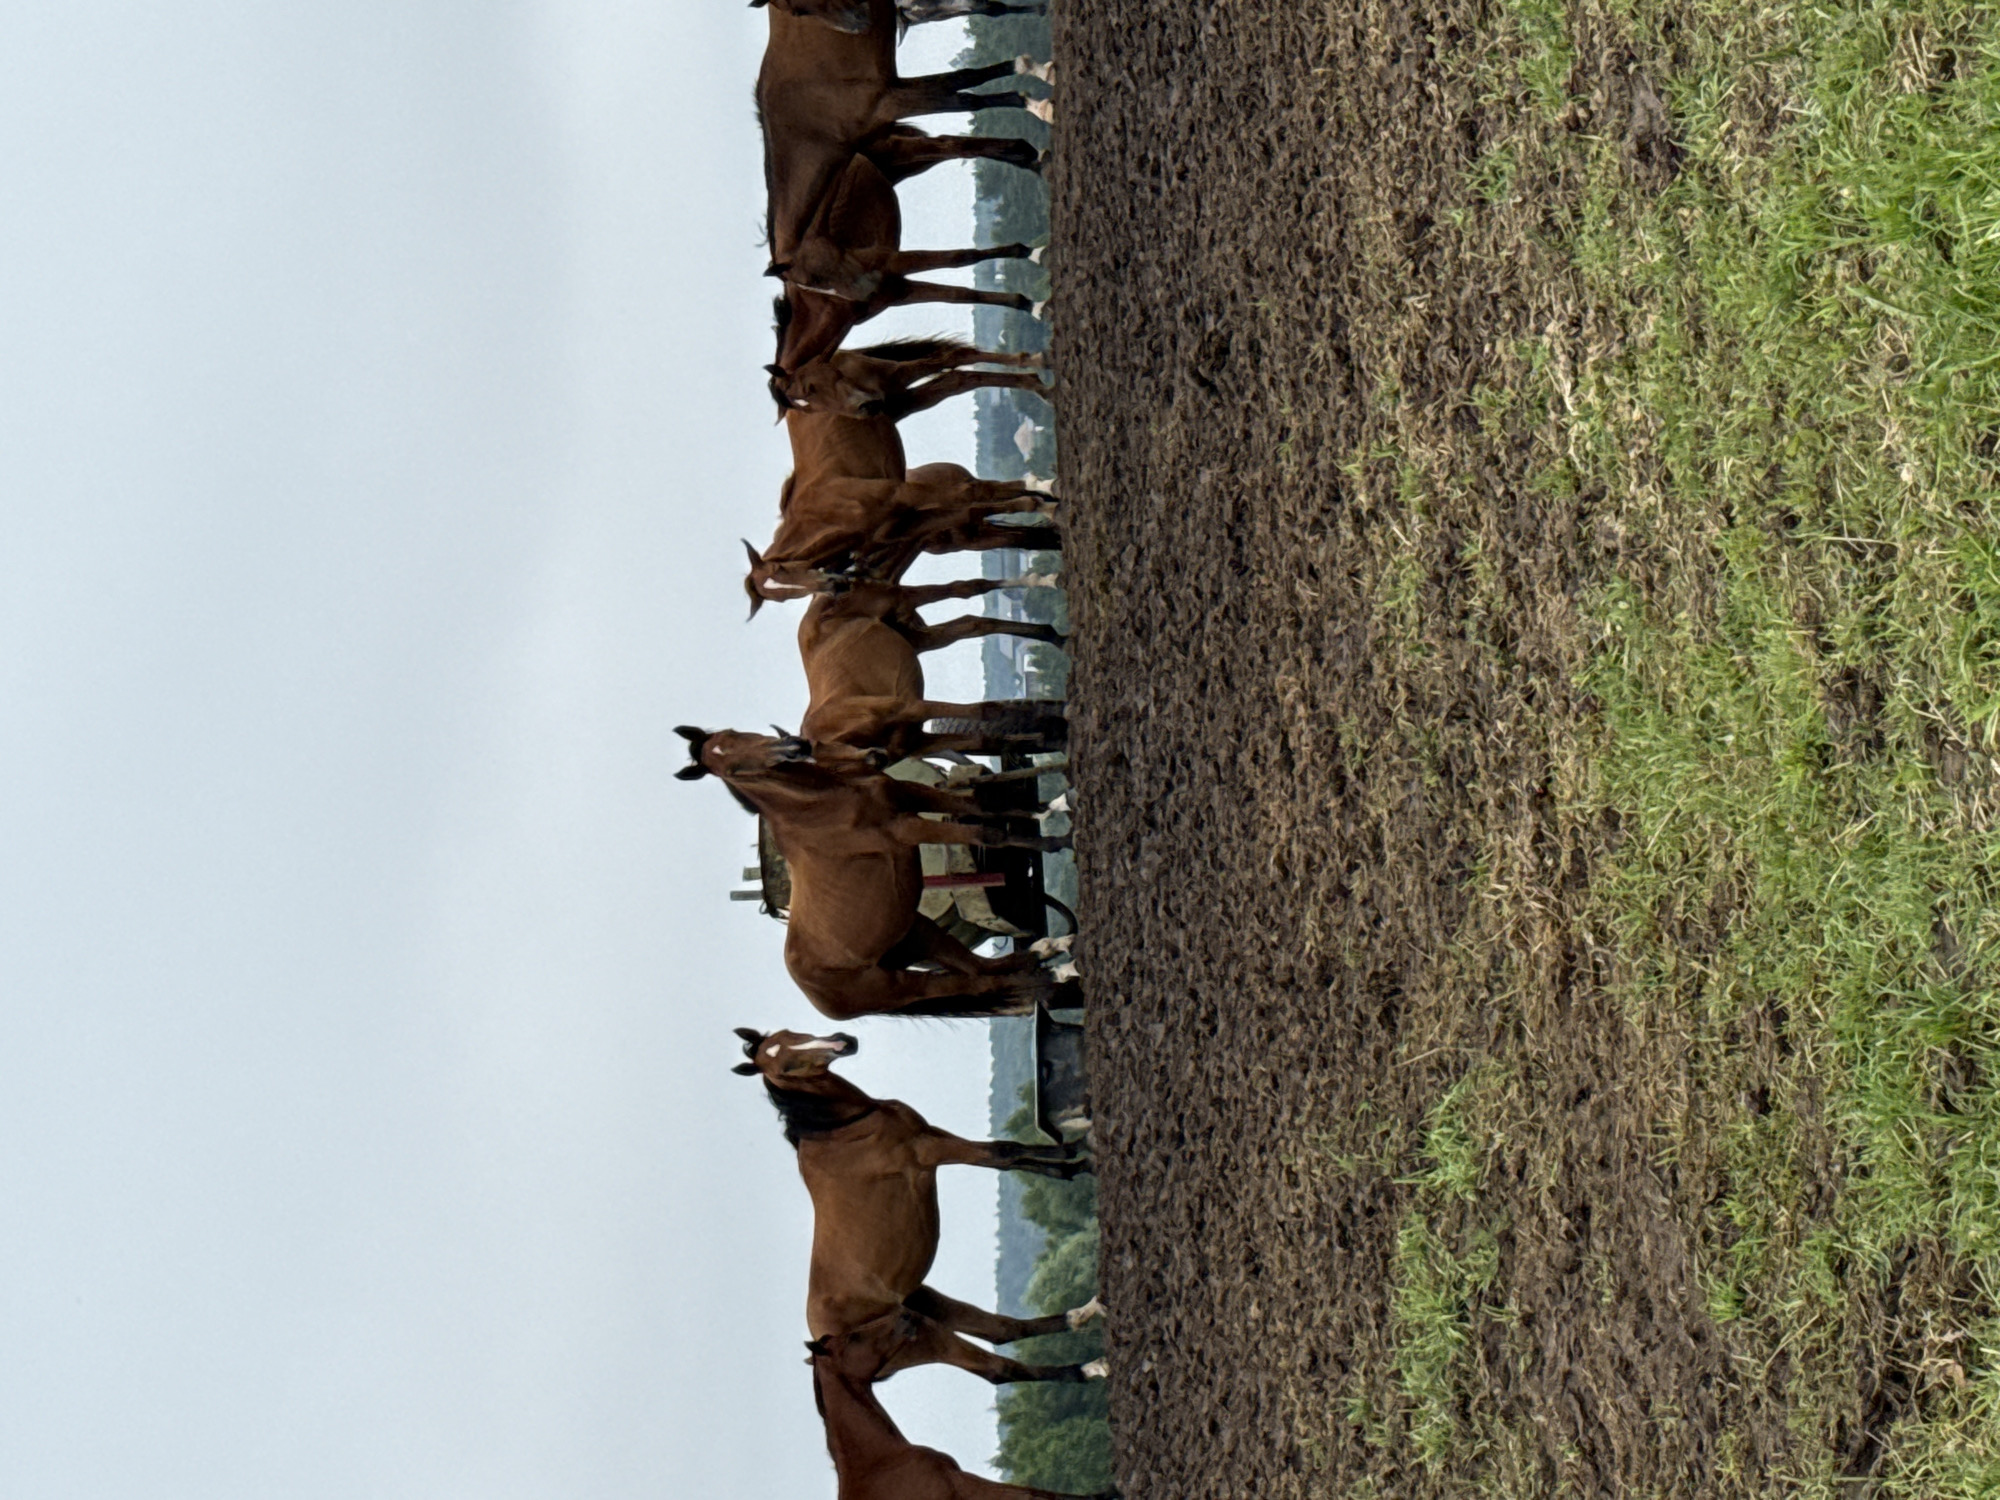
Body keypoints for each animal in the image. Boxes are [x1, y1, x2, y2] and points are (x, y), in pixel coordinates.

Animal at [678, 730, 1078, 1017]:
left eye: (734, 734)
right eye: (733, 771)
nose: (794, 746)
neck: (819, 805)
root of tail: (814, 994)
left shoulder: (911, 794)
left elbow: (982, 810)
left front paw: (1051, 810)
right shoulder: (907, 828)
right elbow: (987, 833)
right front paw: (1058, 839)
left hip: (919, 935)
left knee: (980, 968)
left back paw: (1053, 950)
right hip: (900, 985)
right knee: (977, 983)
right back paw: (1056, 968)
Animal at [736, 1027, 1102, 1390]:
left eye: (788, 1034)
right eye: (786, 1068)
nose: (843, 1042)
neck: (841, 1128)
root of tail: (821, 1350)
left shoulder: (931, 1134)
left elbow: (1012, 1157)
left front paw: (1076, 1158)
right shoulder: (930, 1149)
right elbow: (1004, 1152)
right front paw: (1084, 1155)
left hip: (927, 1301)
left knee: (1002, 1330)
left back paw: (1083, 1313)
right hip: (925, 1336)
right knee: (999, 1369)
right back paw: (1088, 1368)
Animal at [769, 336, 1048, 420]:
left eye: (810, 389)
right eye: (807, 408)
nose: (866, 408)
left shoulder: (896, 376)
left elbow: (954, 359)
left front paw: (1037, 371)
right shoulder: (906, 401)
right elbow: (958, 380)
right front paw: (1035, 382)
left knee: (956, 357)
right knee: (959, 375)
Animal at [800, 578, 1067, 759]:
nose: (876, 758)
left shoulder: (909, 707)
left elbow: (985, 711)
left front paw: (1052, 714)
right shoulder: (920, 741)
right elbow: (989, 741)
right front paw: (1050, 737)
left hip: (898, 599)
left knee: (965, 588)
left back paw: (1044, 583)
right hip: (914, 635)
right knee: (973, 622)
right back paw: (1054, 634)